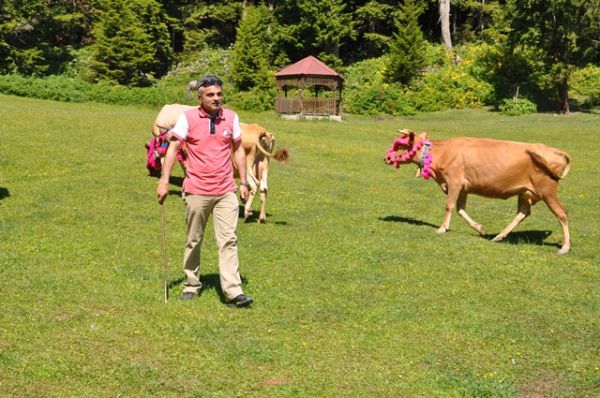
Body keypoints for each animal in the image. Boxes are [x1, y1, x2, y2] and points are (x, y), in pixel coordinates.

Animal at [384, 131, 572, 255]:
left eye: (400, 145)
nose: (386, 158)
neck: (442, 153)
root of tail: (551, 149)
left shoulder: (454, 181)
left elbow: (449, 206)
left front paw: (442, 228)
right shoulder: (463, 187)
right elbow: (460, 209)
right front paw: (479, 228)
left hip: (547, 191)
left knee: (561, 213)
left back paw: (565, 247)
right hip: (525, 192)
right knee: (523, 212)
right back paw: (499, 236)